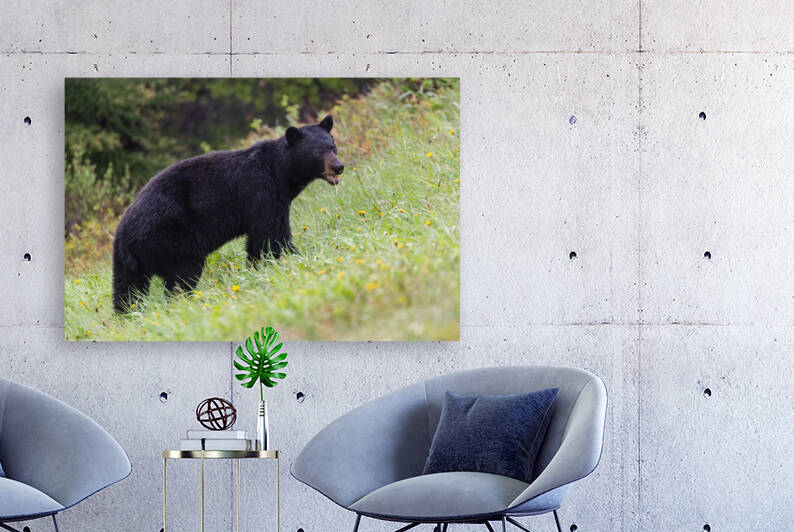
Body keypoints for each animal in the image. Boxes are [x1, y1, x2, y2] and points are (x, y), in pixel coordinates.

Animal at [112, 115, 344, 312]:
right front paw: (297, 258)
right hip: (171, 238)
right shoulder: (262, 193)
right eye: (317, 152)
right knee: (182, 276)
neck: (280, 173)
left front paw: (257, 268)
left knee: (127, 289)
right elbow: (273, 235)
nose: (338, 167)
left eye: (333, 147)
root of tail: (124, 234)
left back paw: (127, 314)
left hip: (130, 262)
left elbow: (257, 241)